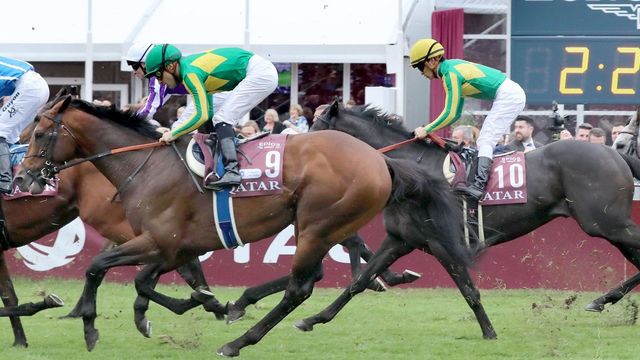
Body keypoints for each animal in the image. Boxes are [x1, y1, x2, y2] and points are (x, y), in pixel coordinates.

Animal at [15, 96, 468, 358]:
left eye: (40, 133)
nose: (21, 177)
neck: (145, 165)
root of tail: (381, 159)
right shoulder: (172, 246)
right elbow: (147, 282)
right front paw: (191, 305)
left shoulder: (159, 241)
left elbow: (98, 267)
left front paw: (92, 327)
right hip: (319, 225)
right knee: (314, 276)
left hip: (319, 222)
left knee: (301, 287)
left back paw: (239, 341)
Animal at [298, 102, 640, 338]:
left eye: (315, 133)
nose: (298, 169)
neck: (411, 174)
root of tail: (616, 153)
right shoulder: (400, 239)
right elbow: (359, 282)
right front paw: (312, 319)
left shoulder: (443, 243)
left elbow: (469, 289)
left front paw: (489, 332)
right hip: (609, 225)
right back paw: (604, 299)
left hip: (604, 222)